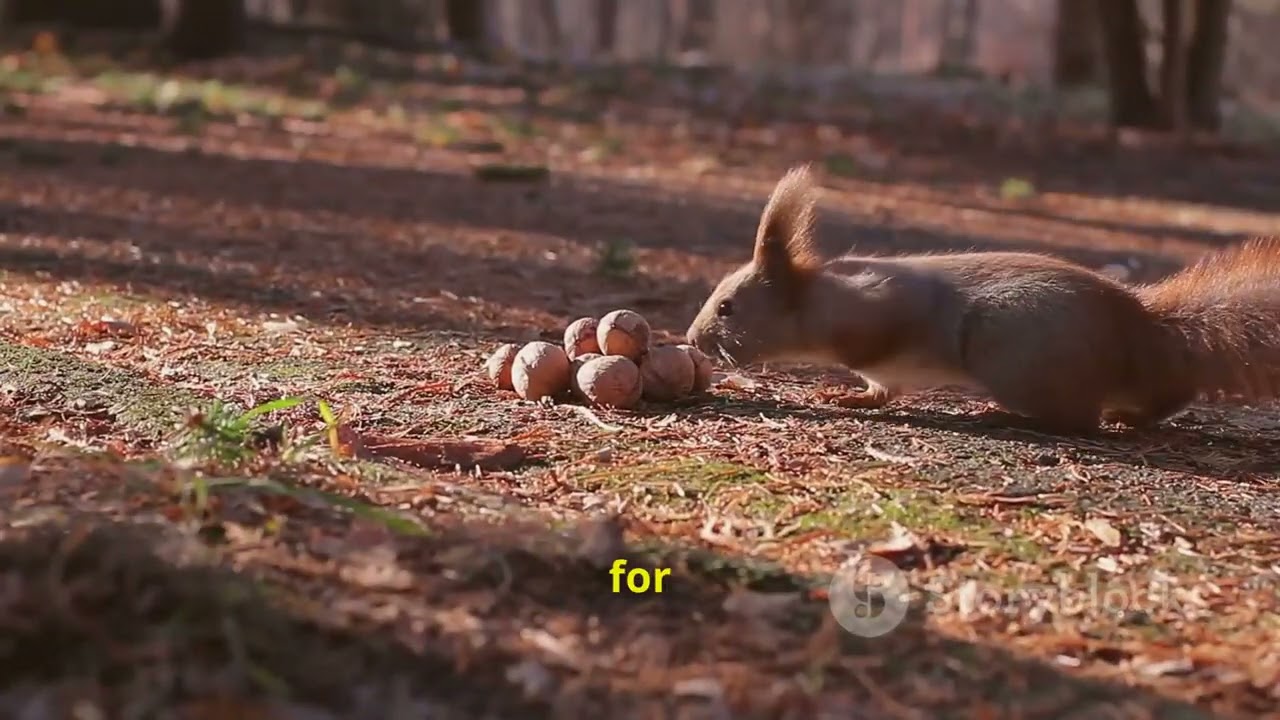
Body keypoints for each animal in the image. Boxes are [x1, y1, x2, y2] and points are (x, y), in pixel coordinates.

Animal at [685, 165, 1280, 435]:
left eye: (727, 307)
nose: (693, 339)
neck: (816, 300)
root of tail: (1136, 329)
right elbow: (881, 391)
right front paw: (849, 397)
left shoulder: (880, 307)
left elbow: (876, 353)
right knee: (1158, 396)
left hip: (1011, 354)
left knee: (1078, 418)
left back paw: (1001, 413)